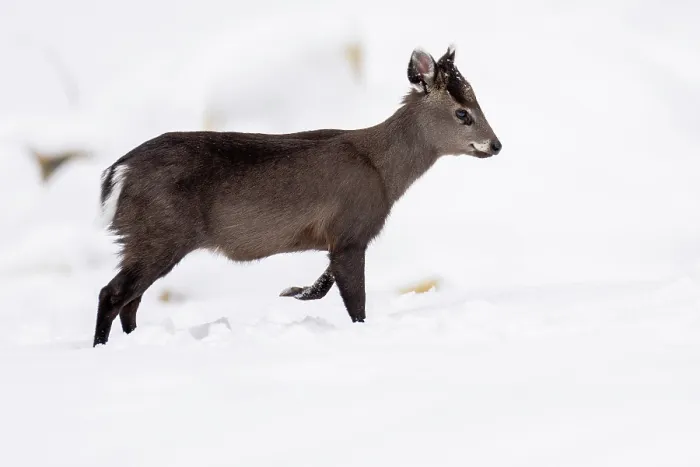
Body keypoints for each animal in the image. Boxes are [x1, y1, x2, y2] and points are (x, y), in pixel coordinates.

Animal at [93, 46, 502, 346]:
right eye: (462, 113)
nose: (496, 145)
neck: (384, 173)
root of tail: (117, 175)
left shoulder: (338, 235)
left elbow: (326, 281)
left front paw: (296, 291)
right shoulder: (353, 229)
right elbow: (356, 301)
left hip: (151, 238)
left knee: (130, 301)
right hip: (160, 232)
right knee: (112, 294)